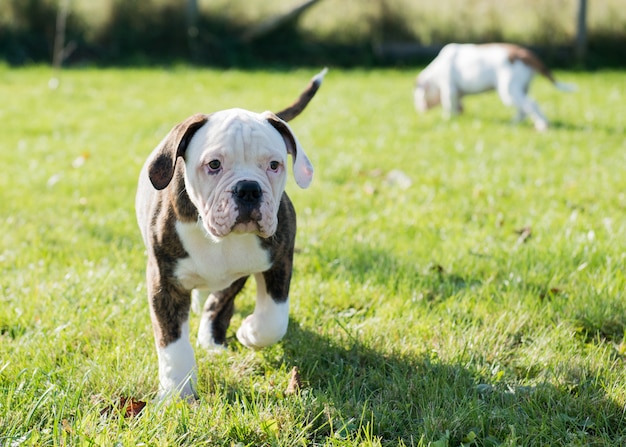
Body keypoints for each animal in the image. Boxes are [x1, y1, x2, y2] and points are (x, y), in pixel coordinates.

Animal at [133, 69, 324, 400]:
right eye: (214, 165)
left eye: (274, 165)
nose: (248, 189)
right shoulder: (164, 281)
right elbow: (172, 343)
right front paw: (176, 392)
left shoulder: (279, 261)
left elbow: (274, 318)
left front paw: (249, 332)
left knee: (218, 303)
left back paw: (212, 338)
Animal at [412, 43, 572, 131]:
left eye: (416, 97)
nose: (419, 109)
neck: (435, 72)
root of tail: (525, 54)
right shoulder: (457, 93)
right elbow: (457, 104)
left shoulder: (449, 87)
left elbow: (448, 105)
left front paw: (448, 118)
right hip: (520, 89)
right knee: (524, 108)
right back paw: (514, 122)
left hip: (508, 90)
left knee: (531, 104)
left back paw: (541, 125)